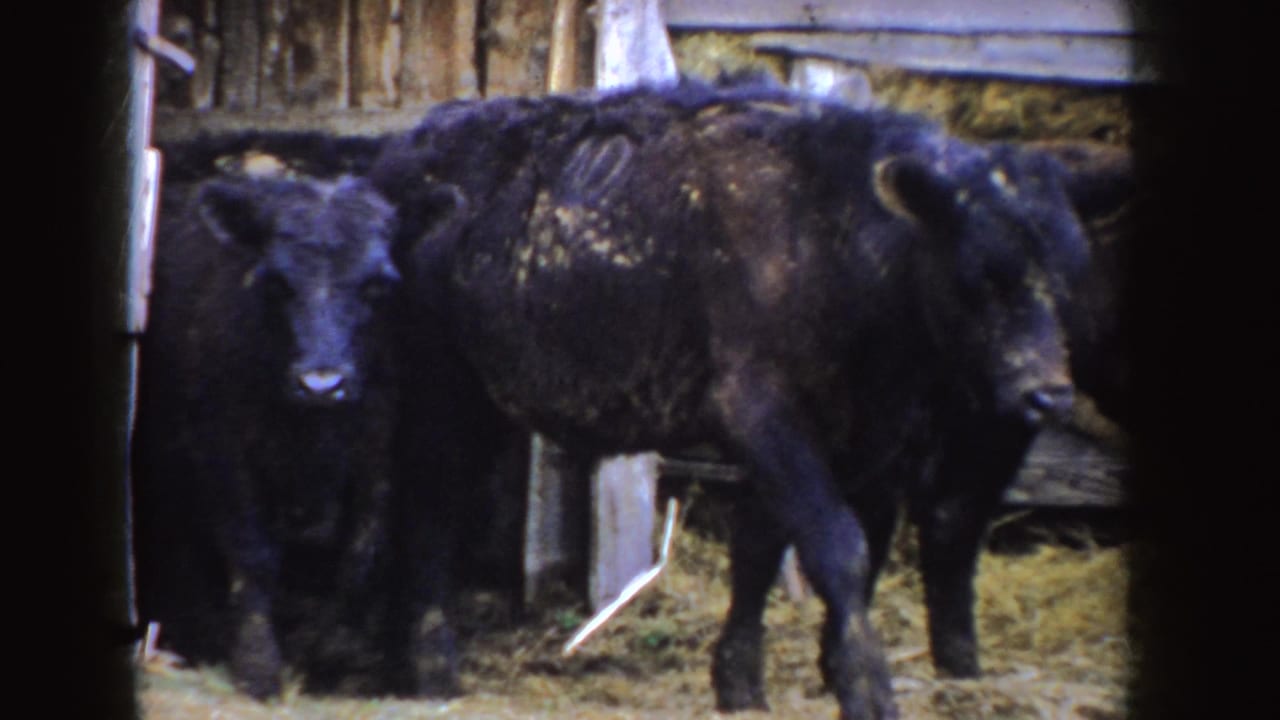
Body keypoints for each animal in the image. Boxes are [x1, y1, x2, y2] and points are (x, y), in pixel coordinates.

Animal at [131, 169, 406, 698]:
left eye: (377, 284)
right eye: (275, 281)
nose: (322, 383)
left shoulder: (377, 448)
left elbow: (359, 556)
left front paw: (326, 656)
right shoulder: (222, 451)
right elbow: (252, 554)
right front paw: (257, 667)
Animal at [367, 80, 1092, 720]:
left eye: (1069, 277)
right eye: (981, 276)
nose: (1049, 396)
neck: (830, 236)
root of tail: (408, 151)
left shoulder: (843, 441)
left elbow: (764, 553)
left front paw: (743, 682)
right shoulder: (765, 418)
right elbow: (839, 547)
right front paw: (867, 691)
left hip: (486, 401)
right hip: (441, 387)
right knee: (428, 504)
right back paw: (431, 666)